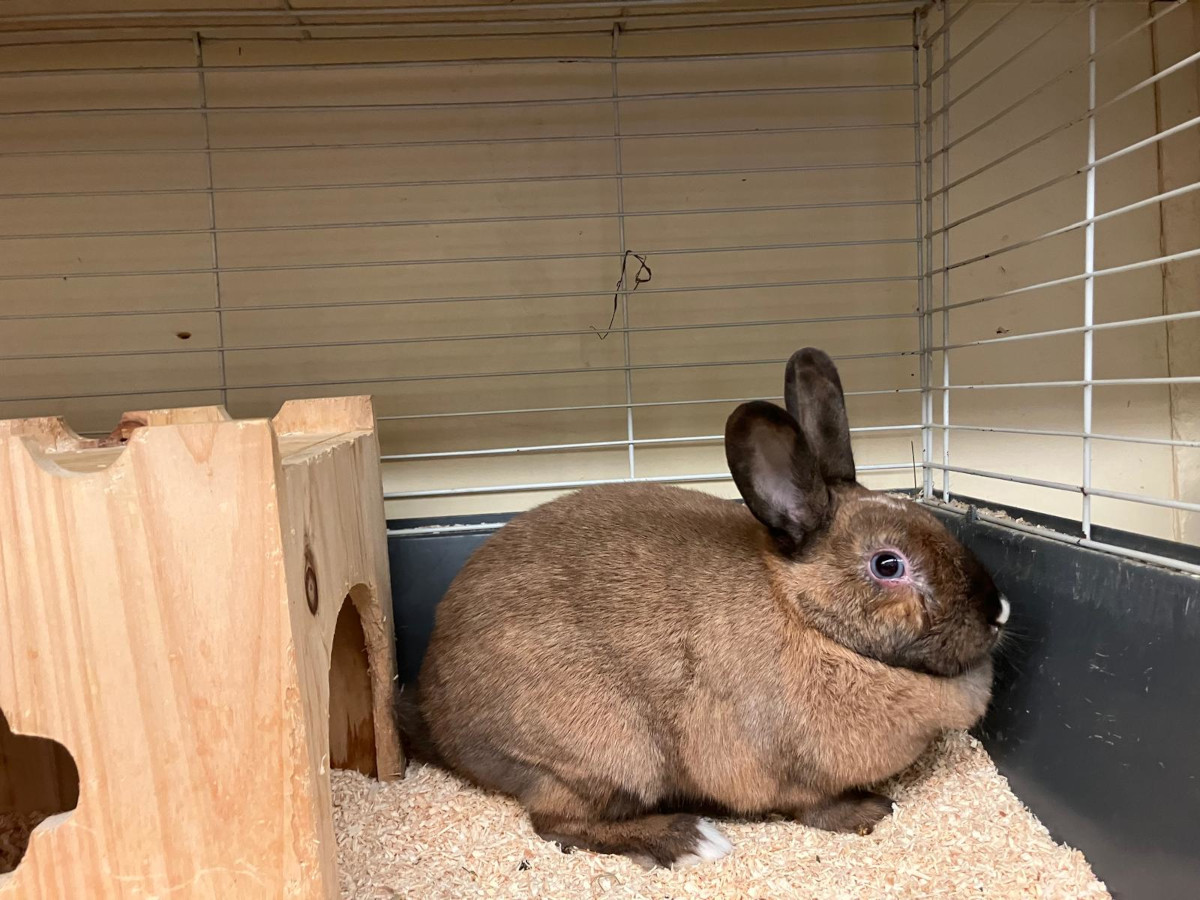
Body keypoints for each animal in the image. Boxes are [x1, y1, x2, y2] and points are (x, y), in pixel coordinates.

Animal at [415, 347, 1009, 868]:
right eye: (888, 565)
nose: (1000, 610)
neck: (807, 618)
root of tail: (438, 719)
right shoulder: (779, 768)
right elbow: (814, 805)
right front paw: (871, 810)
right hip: (600, 758)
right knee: (557, 823)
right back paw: (690, 840)